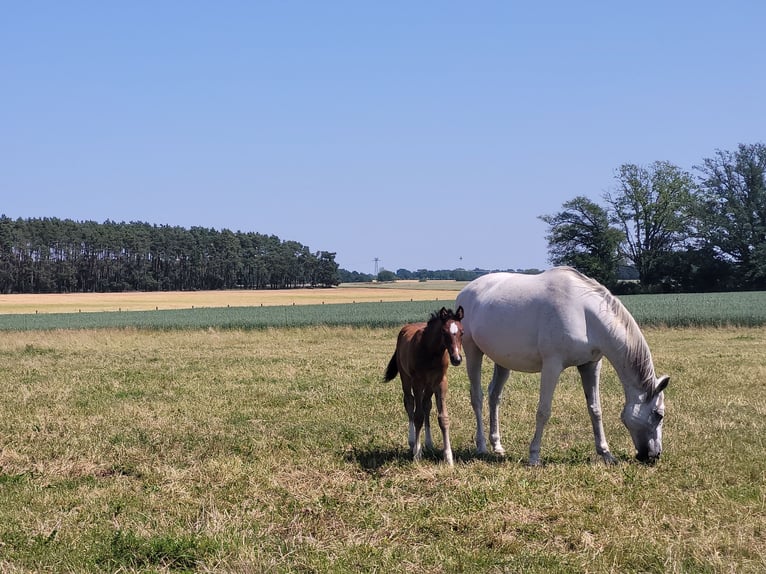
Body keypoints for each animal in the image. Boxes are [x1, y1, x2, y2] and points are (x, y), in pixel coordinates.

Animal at [383, 306, 464, 466]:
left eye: (462, 332)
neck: (430, 351)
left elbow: (443, 418)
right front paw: (417, 454)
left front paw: (448, 457)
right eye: (444, 332)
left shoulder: (440, 382)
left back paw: (429, 443)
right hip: (406, 378)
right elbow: (418, 416)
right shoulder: (417, 381)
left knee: (426, 404)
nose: (457, 359)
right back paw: (412, 442)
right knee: (409, 403)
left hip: (429, 385)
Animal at [455, 267, 669, 465]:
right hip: (472, 351)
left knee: (494, 397)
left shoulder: (590, 365)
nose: (654, 455)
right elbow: (543, 411)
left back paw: (497, 446)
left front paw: (606, 454)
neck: (584, 314)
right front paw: (534, 456)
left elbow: (595, 409)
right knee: (477, 397)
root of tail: (465, 291)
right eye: (658, 415)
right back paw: (482, 446)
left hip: (502, 361)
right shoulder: (552, 365)